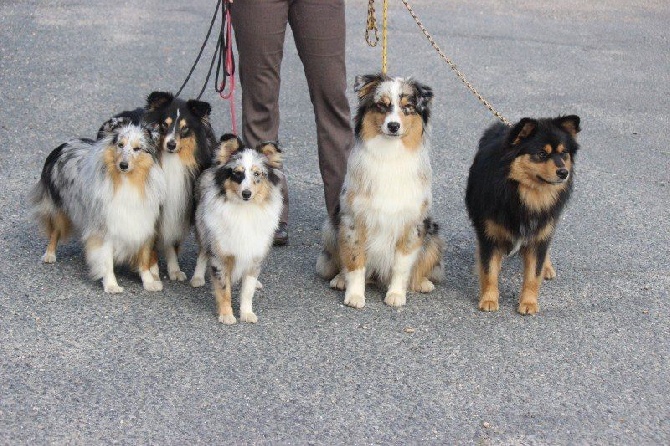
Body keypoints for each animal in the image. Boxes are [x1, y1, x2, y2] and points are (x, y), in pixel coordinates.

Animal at [316, 74, 444, 310]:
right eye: (382, 106)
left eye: (407, 107)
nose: (393, 126)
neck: (390, 154)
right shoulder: (353, 220)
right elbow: (355, 261)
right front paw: (355, 295)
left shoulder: (411, 223)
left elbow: (401, 265)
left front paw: (396, 294)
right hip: (331, 228)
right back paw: (340, 279)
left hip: (433, 236)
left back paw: (422, 282)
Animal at [468, 114, 584, 314]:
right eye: (542, 154)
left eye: (564, 153)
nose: (564, 172)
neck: (526, 196)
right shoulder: (489, 235)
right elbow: (489, 271)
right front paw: (489, 299)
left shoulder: (538, 235)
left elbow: (533, 274)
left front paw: (529, 303)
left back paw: (547, 267)